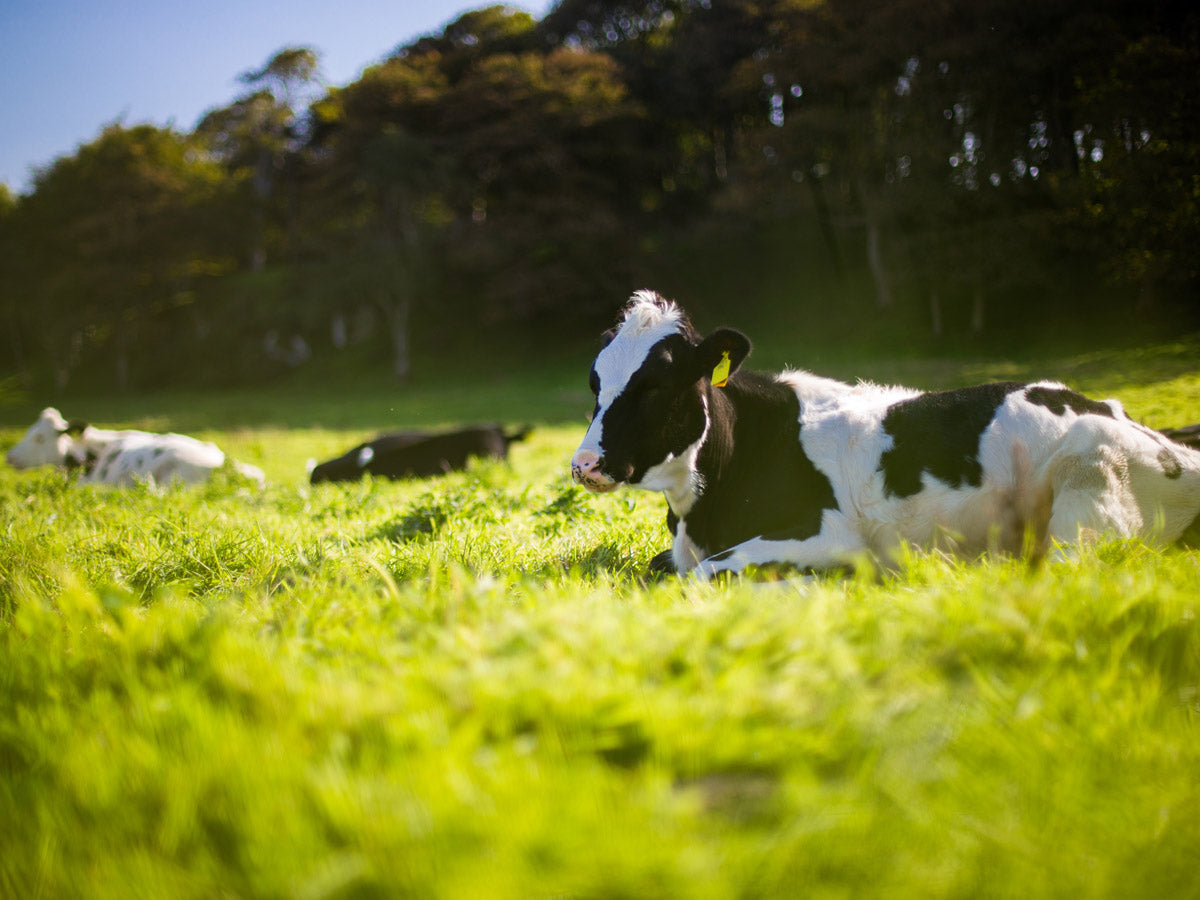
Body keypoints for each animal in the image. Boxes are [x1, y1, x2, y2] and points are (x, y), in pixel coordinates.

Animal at [568, 292, 1200, 580]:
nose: (584, 463)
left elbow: (704, 573)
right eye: (595, 381)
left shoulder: (828, 534)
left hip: (1089, 488)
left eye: (656, 385)